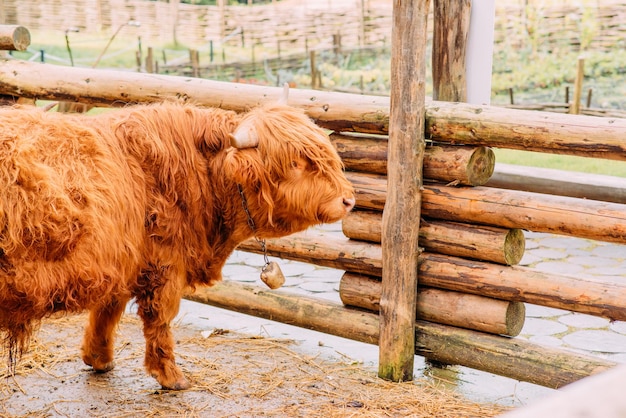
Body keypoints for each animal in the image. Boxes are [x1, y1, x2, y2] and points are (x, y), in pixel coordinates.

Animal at [0, 89, 354, 392]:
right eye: (295, 163)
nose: (349, 200)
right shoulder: (165, 264)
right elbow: (160, 320)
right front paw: (171, 376)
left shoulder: (123, 260)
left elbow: (107, 311)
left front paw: (98, 359)